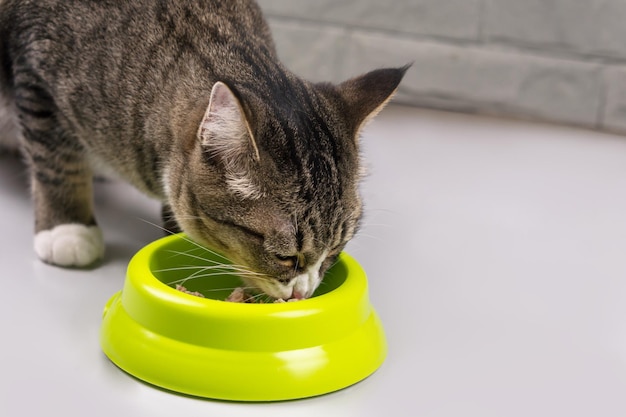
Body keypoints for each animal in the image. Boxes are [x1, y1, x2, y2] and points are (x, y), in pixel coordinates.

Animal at [0, 0, 408, 300]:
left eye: (336, 251)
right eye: (286, 257)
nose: (302, 294)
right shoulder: (35, 77)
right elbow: (56, 163)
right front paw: (67, 229)